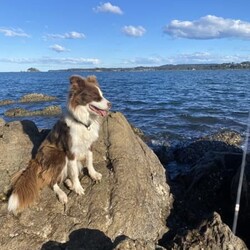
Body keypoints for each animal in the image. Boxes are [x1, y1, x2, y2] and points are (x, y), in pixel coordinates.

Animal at [7, 75, 110, 214]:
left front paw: (93, 174)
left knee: (65, 175)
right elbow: (74, 174)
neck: (82, 121)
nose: (110, 104)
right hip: (58, 154)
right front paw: (78, 188)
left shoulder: (89, 145)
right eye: (95, 96)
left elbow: (89, 161)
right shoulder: (70, 151)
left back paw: (70, 184)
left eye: (102, 95)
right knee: (52, 180)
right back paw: (62, 194)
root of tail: (36, 160)